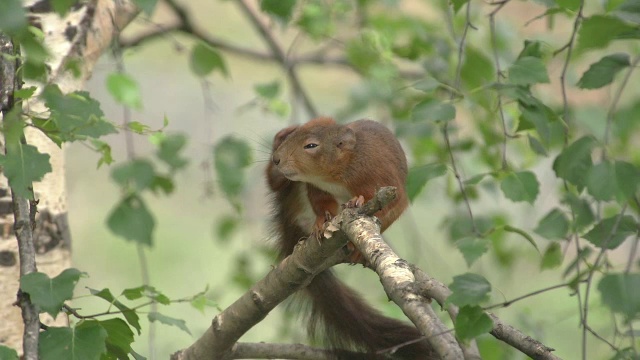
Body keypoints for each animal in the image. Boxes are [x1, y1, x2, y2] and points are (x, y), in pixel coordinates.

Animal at [264, 116, 436, 358]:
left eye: (311, 146)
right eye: (293, 137)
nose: (277, 159)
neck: (335, 175)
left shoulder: (384, 179)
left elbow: (389, 207)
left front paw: (358, 208)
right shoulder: (316, 188)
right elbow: (320, 204)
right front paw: (320, 223)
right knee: (277, 186)